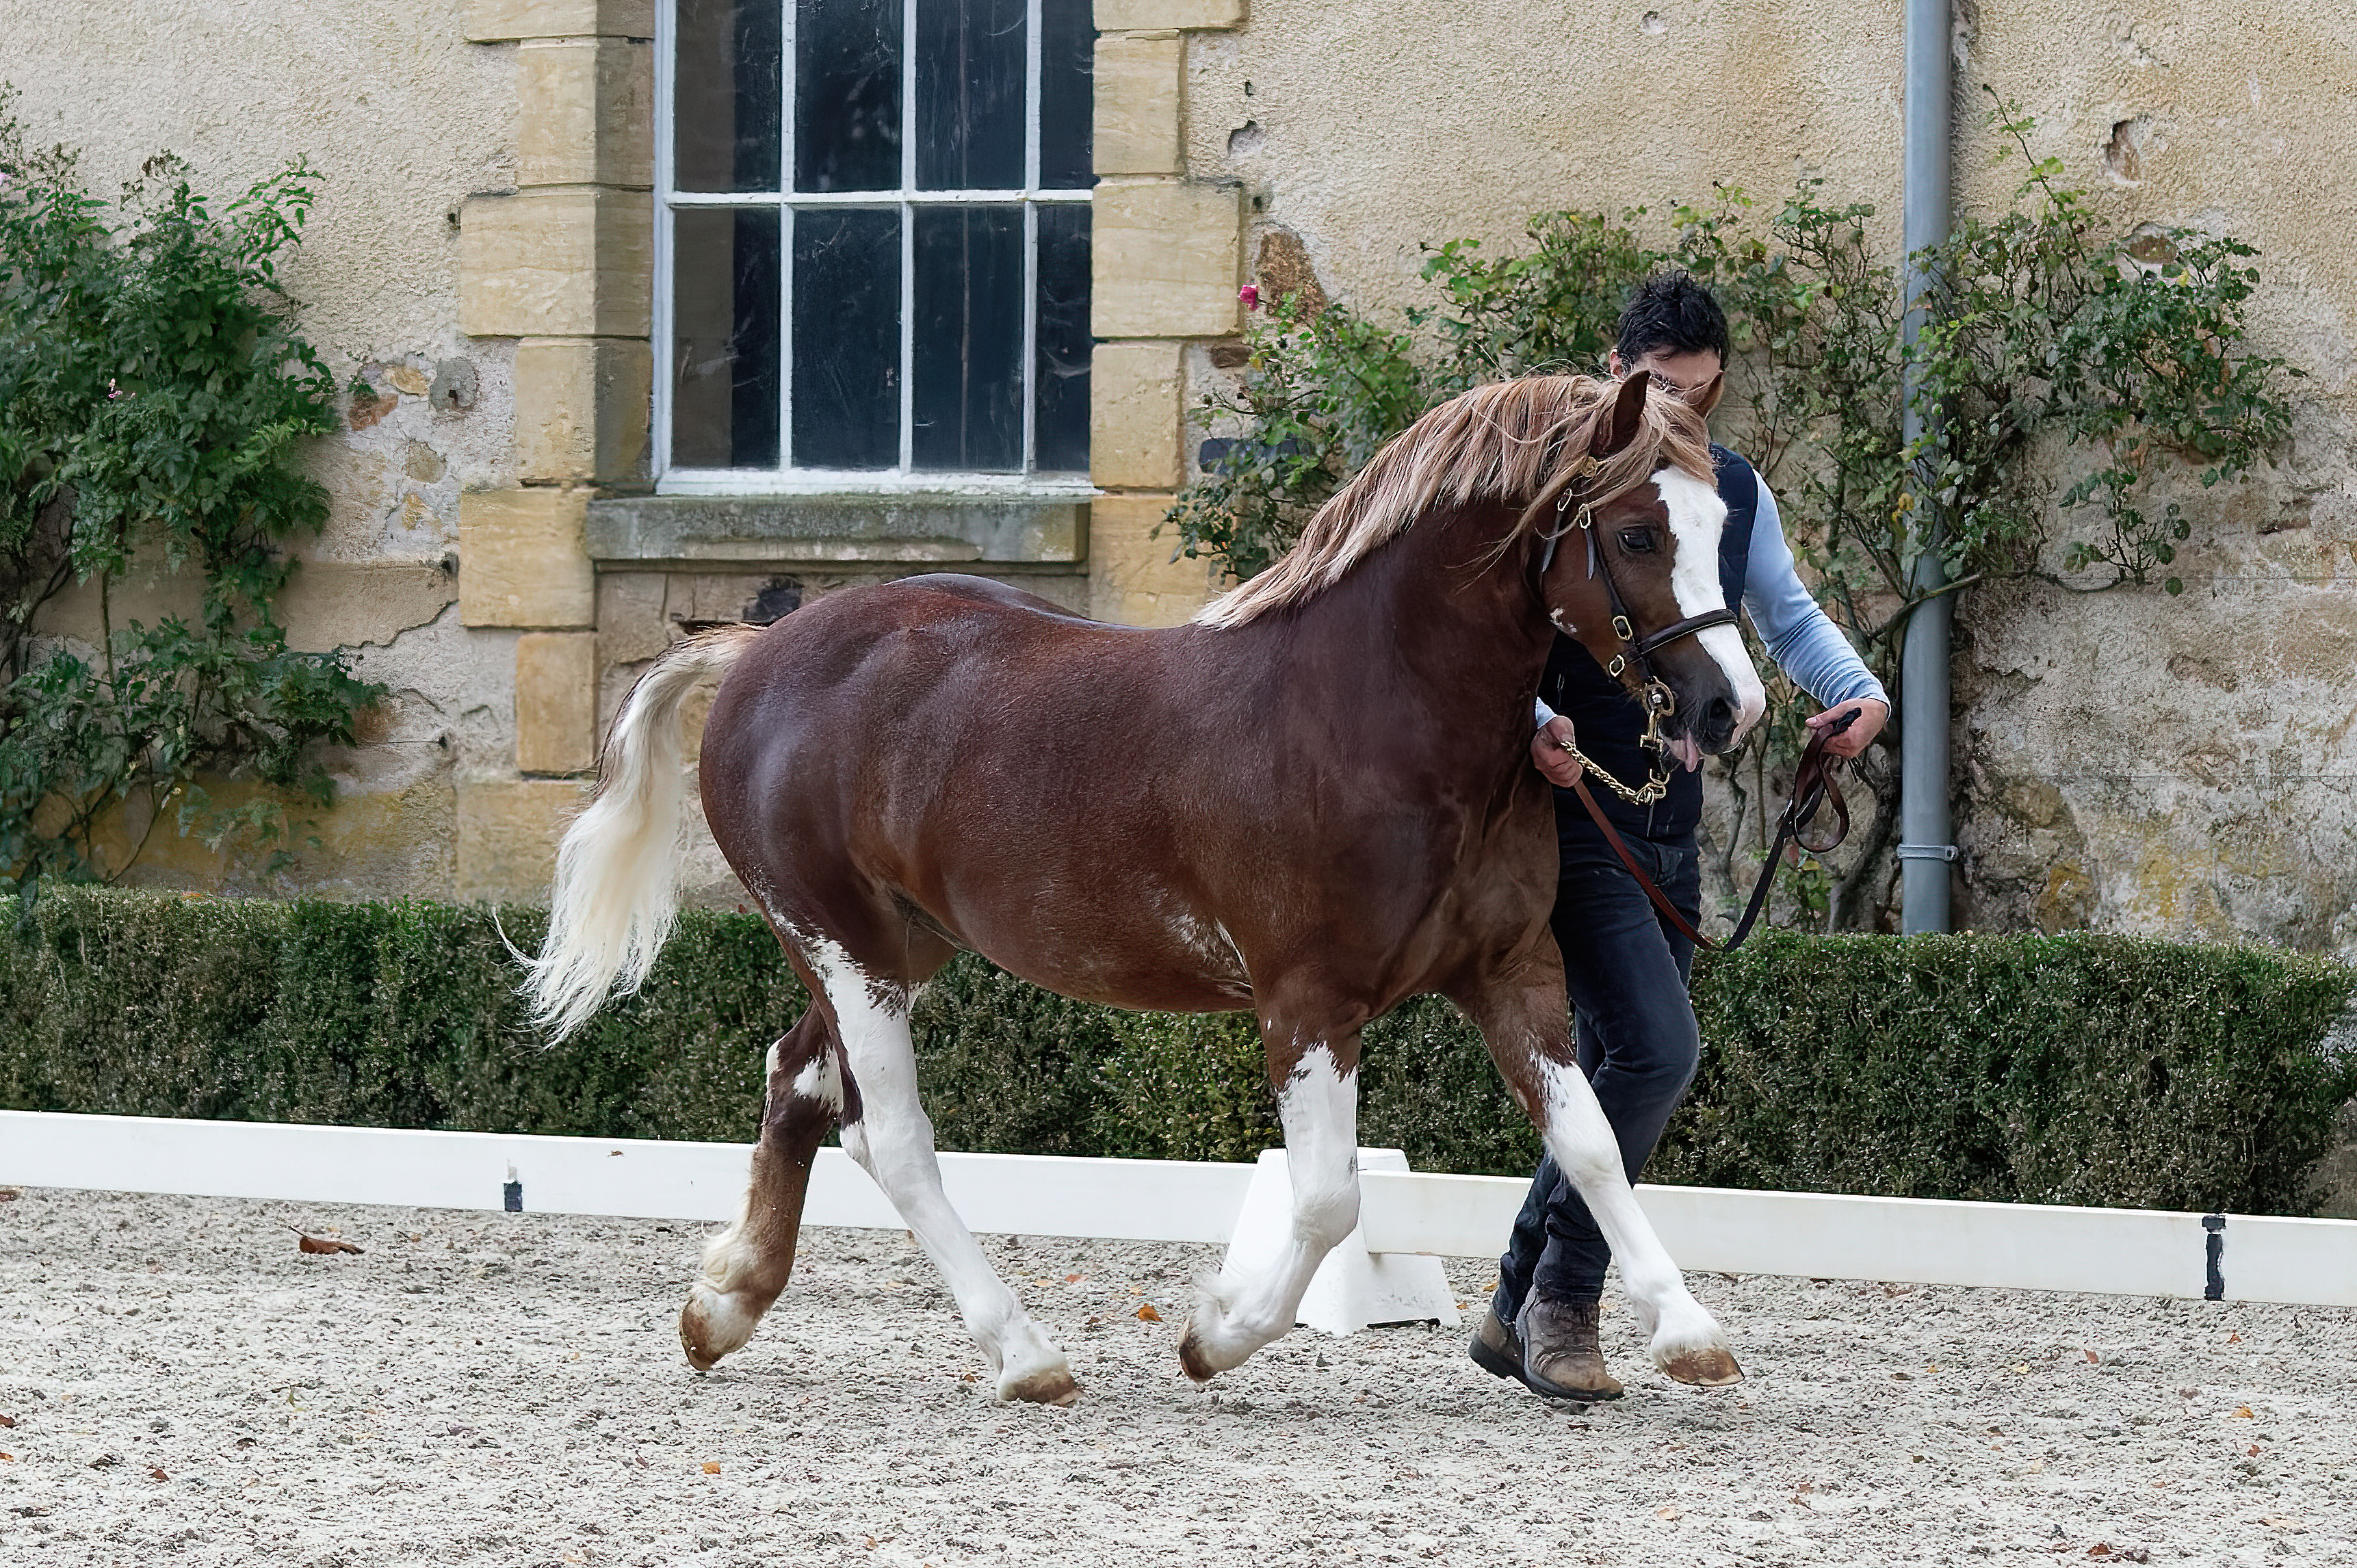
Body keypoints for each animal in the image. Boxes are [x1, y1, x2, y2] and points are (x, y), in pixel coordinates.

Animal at [525, 369, 1767, 1405]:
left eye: (1723, 525)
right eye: (1637, 530)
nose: (1731, 708)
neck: (1376, 713)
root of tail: (752, 655)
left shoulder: (1511, 971)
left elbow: (1591, 1141)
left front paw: (1692, 1334)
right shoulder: (1307, 999)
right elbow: (1328, 1197)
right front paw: (1216, 1335)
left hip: (896, 947)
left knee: (800, 1086)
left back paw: (722, 1308)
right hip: (843, 945)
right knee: (894, 1137)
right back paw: (1024, 1355)